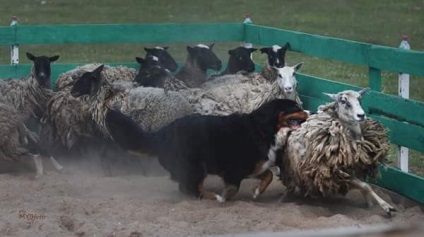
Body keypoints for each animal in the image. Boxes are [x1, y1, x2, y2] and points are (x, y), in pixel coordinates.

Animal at [104, 99, 306, 203]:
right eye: (295, 107)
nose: (308, 112)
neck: (263, 129)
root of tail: (161, 134)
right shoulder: (234, 169)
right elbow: (233, 188)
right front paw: (224, 196)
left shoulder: (254, 166)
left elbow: (268, 176)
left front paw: (257, 191)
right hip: (195, 166)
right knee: (191, 187)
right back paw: (212, 196)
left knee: (187, 187)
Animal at [274, 88, 394, 216]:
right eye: (343, 101)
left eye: (360, 99)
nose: (361, 115)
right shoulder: (340, 173)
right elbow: (366, 186)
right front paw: (386, 206)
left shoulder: (356, 168)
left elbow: (364, 189)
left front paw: (370, 206)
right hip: (291, 171)